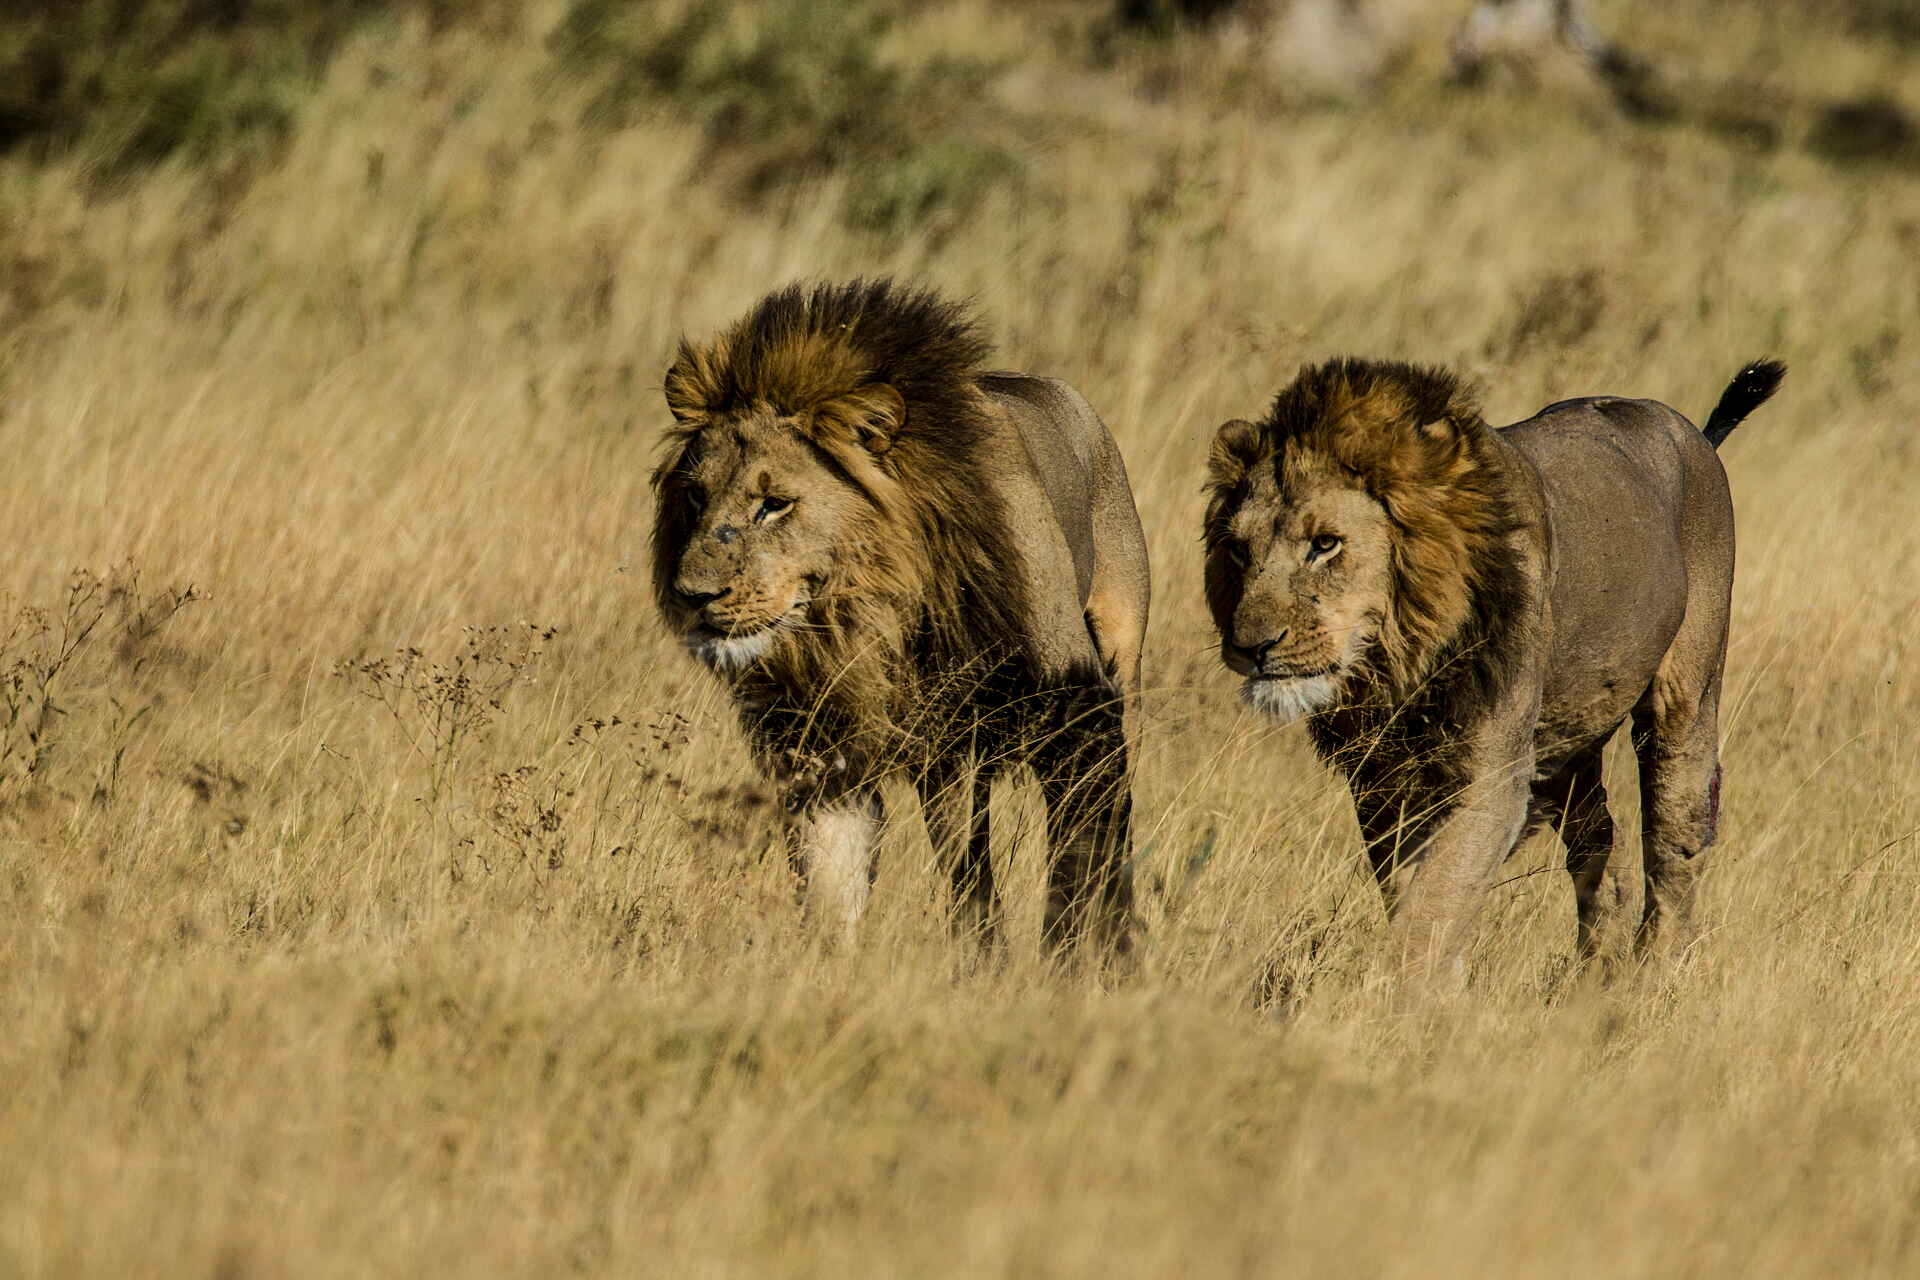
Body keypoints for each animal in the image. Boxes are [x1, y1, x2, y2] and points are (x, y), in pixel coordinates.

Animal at [652, 279, 1149, 955]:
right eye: (695, 496)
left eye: (774, 504)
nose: (692, 595)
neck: (873, 620)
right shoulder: (821, 756)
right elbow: (833, 886)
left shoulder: (1075, 707)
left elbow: (1084, 852)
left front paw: (1082, 955)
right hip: (948, 758)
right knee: (967, 863)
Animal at [1202, 356, 1784, 987]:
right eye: (1238, 550)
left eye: (1326, 543)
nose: (1250, 647)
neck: (1401, 663)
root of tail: (1689, 430)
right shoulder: (1379, 782)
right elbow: (1414, 893)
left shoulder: (1495, 777)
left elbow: (1435, 903)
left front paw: (1400, 992)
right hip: (1564, 737)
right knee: (1599, 839)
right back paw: (1593, 977)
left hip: (1685, 700)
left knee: (1676, 838)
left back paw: (1652, 976)